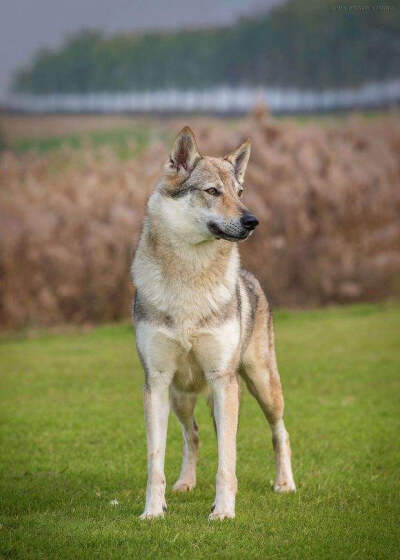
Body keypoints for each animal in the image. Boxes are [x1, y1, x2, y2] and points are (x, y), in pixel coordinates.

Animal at [131, 127, 294, 520]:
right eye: (212, 191)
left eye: (240, 192)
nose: (253, 221)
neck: (191, 280)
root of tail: (251, 279)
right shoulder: (156, 383)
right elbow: (155, 459)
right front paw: (153, 512)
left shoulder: (222, 380)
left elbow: (226, 461)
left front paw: (222, 512)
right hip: (180, 396)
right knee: (193, 435)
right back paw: (184, 484)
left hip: (261, 385)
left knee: (279, 433)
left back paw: (284, 484)